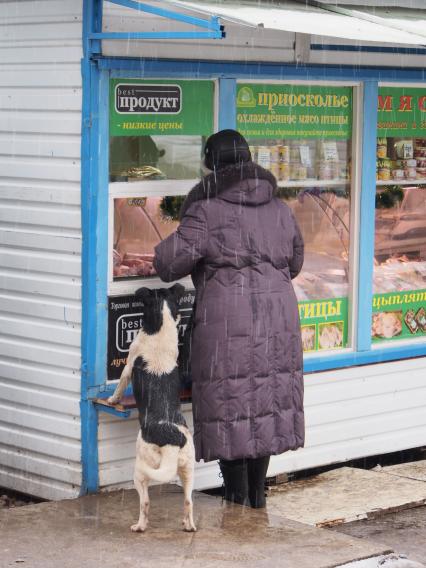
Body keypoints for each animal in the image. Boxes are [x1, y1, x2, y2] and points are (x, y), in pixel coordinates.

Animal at [109, 284, 197, 532]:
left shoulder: (128, 366)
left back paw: (139, 526)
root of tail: (172, 439)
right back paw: (189, 525)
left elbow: (120, 386)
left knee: (145, 502)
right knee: (188, 501)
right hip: (188, 469)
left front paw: (111, 399)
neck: (160, 330)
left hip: (141, 470)